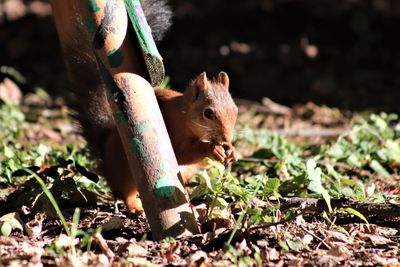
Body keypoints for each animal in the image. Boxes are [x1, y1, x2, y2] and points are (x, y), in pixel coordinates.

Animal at [102, 72, 238, 213]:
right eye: (208, 113)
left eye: (235, 109)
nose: (227, 138)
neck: (184, 116)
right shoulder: (171, 131)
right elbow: (179, 153)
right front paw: (212, 149)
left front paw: (232, 151)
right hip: (126, 172)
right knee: (127, 193)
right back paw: (135, 206)